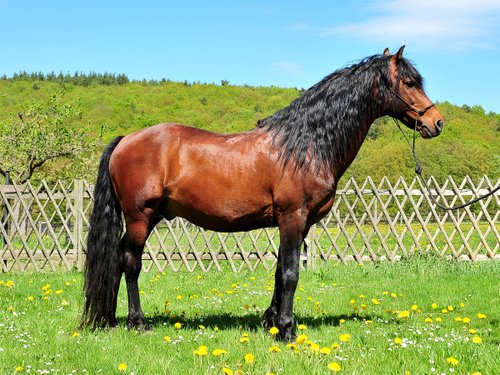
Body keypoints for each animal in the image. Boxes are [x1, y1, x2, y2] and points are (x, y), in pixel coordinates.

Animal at [84, 45, 444, 342]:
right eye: (410, 83)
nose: (437, 122)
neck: (305, 145)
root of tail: (127, 139)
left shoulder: (300, 224)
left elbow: (280, 272)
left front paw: (271, 321)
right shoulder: (292, 218)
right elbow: (291, 274)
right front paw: (286, 330)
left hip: (153, 215)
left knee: (120, 258)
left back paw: (114, 320)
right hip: (140, 217)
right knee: (130, 262)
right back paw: (138, 322)